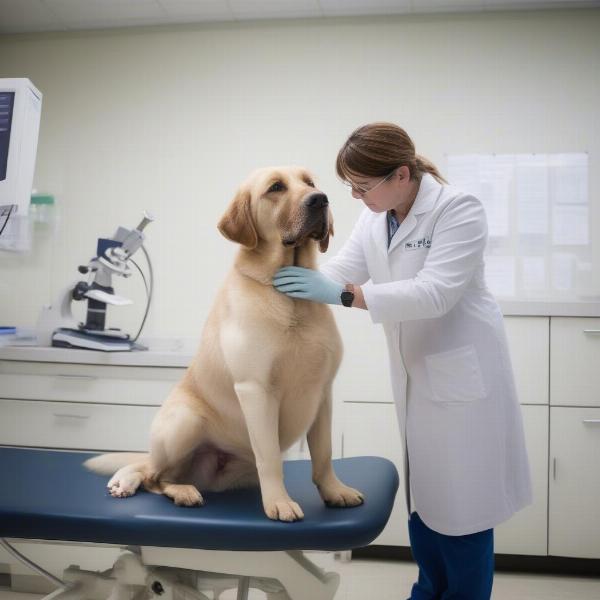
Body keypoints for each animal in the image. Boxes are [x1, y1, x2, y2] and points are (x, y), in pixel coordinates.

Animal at [86, 168, 364, 520]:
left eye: (310, 183)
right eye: (276, 187)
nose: (320, 200)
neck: (288, 296)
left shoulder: (323, 391)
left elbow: (324, 454)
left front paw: (334, 491)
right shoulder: (255, 389)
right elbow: (269, 458)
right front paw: (279, 502)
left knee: (158, 473)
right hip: (186, 419)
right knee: (153, 474)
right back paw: (167, 489)